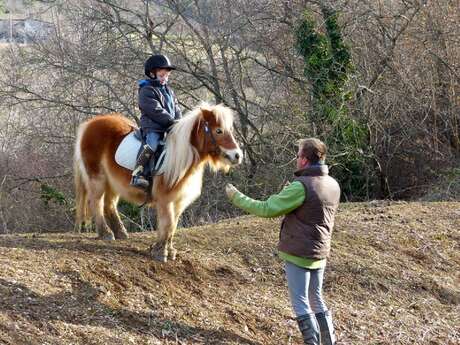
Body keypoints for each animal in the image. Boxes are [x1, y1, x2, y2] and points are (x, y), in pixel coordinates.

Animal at [73, 102, 243, 260]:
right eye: (218, 130)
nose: (237, 155)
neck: (181, 158)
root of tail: (89, 124)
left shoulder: (178, 201)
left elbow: (172, 225)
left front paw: (166, 249)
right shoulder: (165, 199)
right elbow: (167, 223)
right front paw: (161, 252)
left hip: (113, 182)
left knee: (109, 204)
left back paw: (120, 232)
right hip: (97, 178)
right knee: (96, 202)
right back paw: (106, 233)